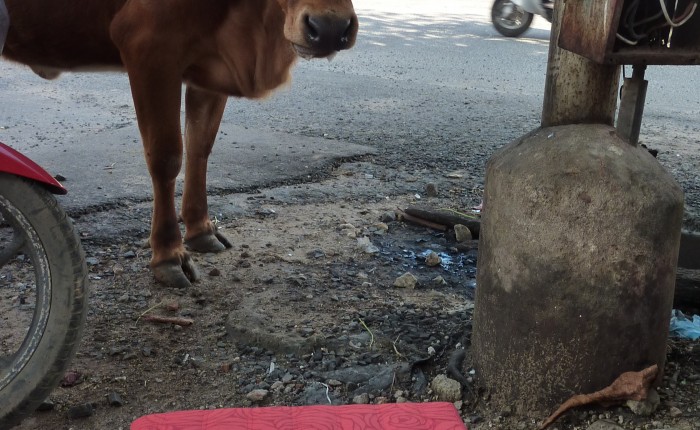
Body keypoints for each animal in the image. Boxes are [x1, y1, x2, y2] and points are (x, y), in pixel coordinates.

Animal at [1, 0, 356, 288]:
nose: (331, 28)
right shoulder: (149, 47)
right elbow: (166, 156)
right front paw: (169, 254)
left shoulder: (211, 68)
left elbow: (200, 146)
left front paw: (201, 230)